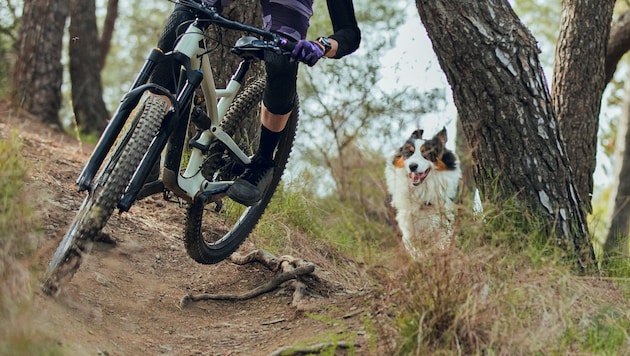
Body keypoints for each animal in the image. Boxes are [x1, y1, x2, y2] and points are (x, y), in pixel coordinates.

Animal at [386, 128, 464, 258]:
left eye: (427, 154)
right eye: (409, 152)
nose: (412, 166)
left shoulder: (445, 226)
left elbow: (443, 244)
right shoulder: (408, 230)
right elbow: (414, 249)